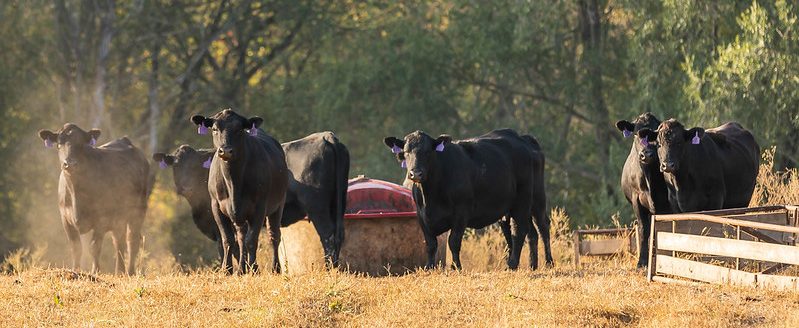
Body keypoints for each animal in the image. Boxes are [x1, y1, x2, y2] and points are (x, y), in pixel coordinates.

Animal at [153, 133, 346, 266]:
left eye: (195, 165)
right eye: (175, 165)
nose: (186, 187)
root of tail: (326, 136)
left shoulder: (218, 222)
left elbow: (230, 247)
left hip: (317, 207)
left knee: (327, 235)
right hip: (336, 204)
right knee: (338, 235)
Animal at [191, 109, 290, 272]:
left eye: (239, 129)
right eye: (215, 129)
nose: (225, 150)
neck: (234, 182)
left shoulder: (260, 206)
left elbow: (252, 240)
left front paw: (254, 269)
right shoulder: (216, 206)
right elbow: (228, 239)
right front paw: (227, 270)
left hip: (278, 205)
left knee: (274, 236)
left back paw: (274, 268)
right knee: (241, 235)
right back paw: (243, 268)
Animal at [382, 128, 552, 270]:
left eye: (428, 152)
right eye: (406, 152)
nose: (415, 173)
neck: (431, 195)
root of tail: (522, 138)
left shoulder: (461, 212)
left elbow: (454, 241)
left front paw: (456, 267)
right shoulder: (421, 214)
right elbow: (430, 244)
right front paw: (429, 267)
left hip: (531, 199)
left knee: (533, 228)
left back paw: (535, 263)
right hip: (510, 208)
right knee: (527, 232)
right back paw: (531, 265)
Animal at [616, 112, 672, 266]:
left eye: (655, 135)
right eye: (636, 134)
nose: (646, 154)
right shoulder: (637, 200)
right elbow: (644, 228)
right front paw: (642, 261)